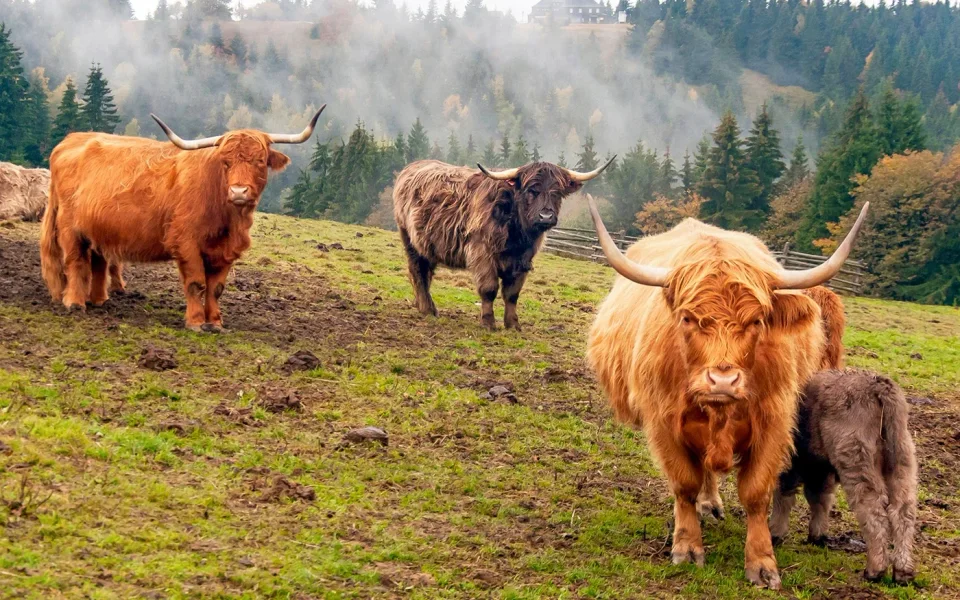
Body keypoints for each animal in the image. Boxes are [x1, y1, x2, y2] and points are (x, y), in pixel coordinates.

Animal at [40, 106, 325, 332]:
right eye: (225, 162)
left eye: (260, 160)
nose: (239, 192)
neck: (227, 219)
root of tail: (71, 139)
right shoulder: (186, 243)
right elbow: (196, 283)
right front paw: (197, 322)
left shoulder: (225, 252)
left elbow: (216, 288)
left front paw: (216, 322)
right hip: (69, 227)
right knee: (75, 261)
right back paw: (75, 303)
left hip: (98, 229)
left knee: (98, 261)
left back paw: (99, 300)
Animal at [393, 158, 614, 330]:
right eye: (531, 190)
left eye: (557, 192)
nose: (546, 216)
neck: (517, 234)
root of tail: (411, 167)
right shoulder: (482, 254)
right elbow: (489, 289)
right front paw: (488, 323)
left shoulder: (523, 261)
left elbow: (512, 293)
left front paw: (513, 324)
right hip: (410, 241)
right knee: (417, 272)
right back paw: (427, 309)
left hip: (428, 246)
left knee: (426, 273)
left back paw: (424, 305)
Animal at [585, 194, 869, 589]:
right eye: (688, 318)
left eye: (757, 320)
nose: (722, 382)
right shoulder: (664, 422)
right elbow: (685, 484)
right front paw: (687, 547)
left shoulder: (774, 422)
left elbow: (756, 493)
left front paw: (763, 563)